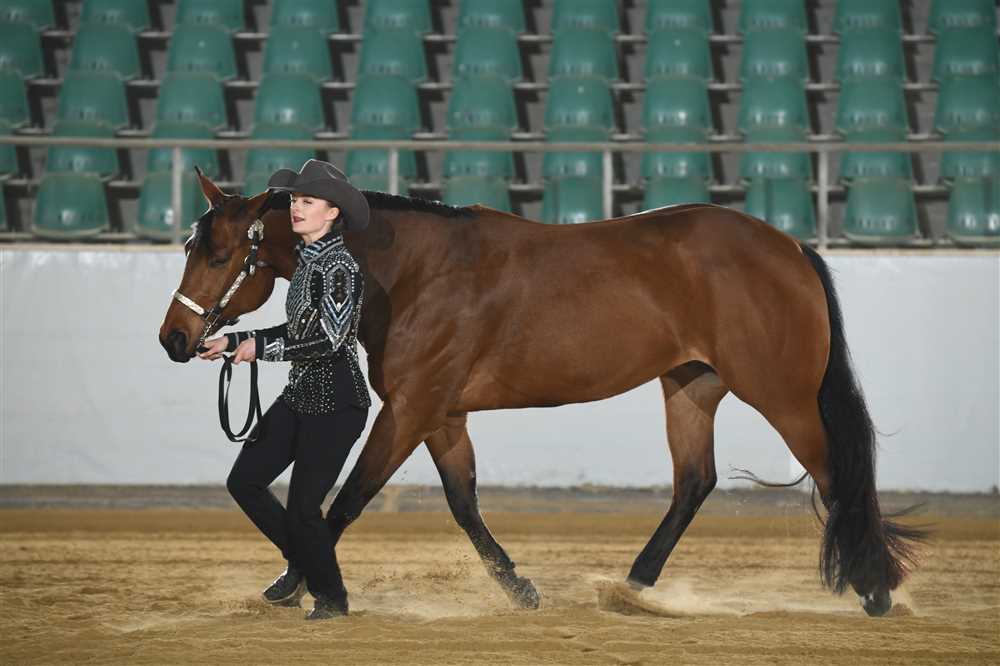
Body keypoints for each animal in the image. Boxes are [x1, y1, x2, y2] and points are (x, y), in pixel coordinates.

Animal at [159, 170, 923, 617]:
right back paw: (632, 587)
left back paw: (876, 588)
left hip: (782, 396)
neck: (415, 271)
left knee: (838, 475)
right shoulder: (442, 414)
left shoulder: (408, 411)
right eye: (191, 247)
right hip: (690, 386)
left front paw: (292, 585)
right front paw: (521, 589)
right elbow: (464, 505)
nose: (174, 338)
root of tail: (790, 248)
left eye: (221, 254)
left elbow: (343, 502)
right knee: (694, 483)